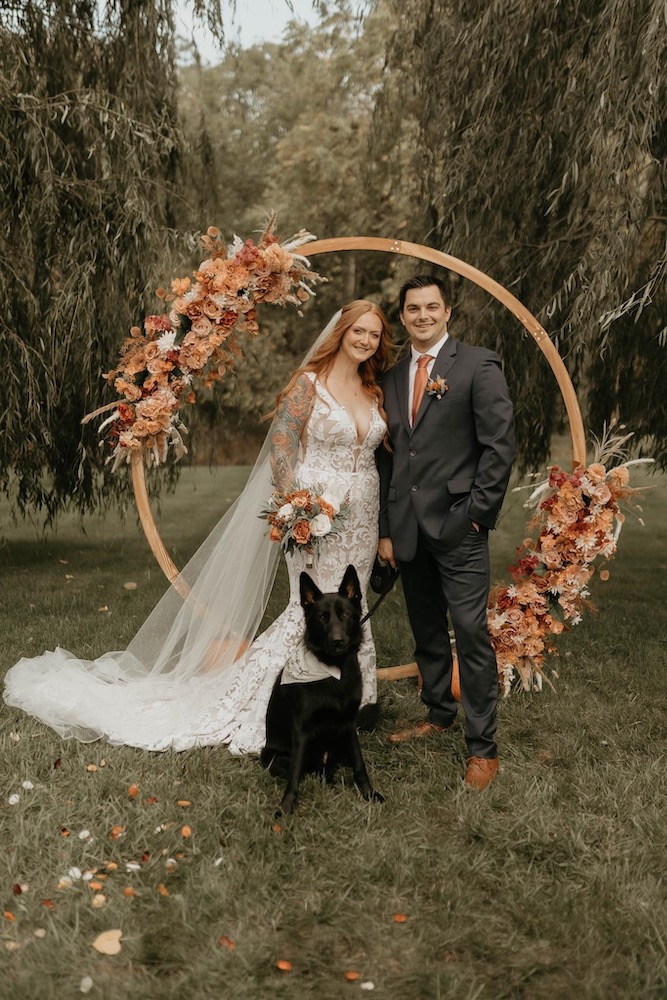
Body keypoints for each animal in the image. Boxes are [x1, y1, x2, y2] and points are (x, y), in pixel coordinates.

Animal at [260, 564, 384, 816]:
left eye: (345, 615)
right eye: (321, 618)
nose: (337, 641)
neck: (333, 671)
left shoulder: (348, 724)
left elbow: (359, 764)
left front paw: (369, 794)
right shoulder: (301, 730)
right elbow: (295, 774)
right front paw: (286, 806)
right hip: (274, 758)